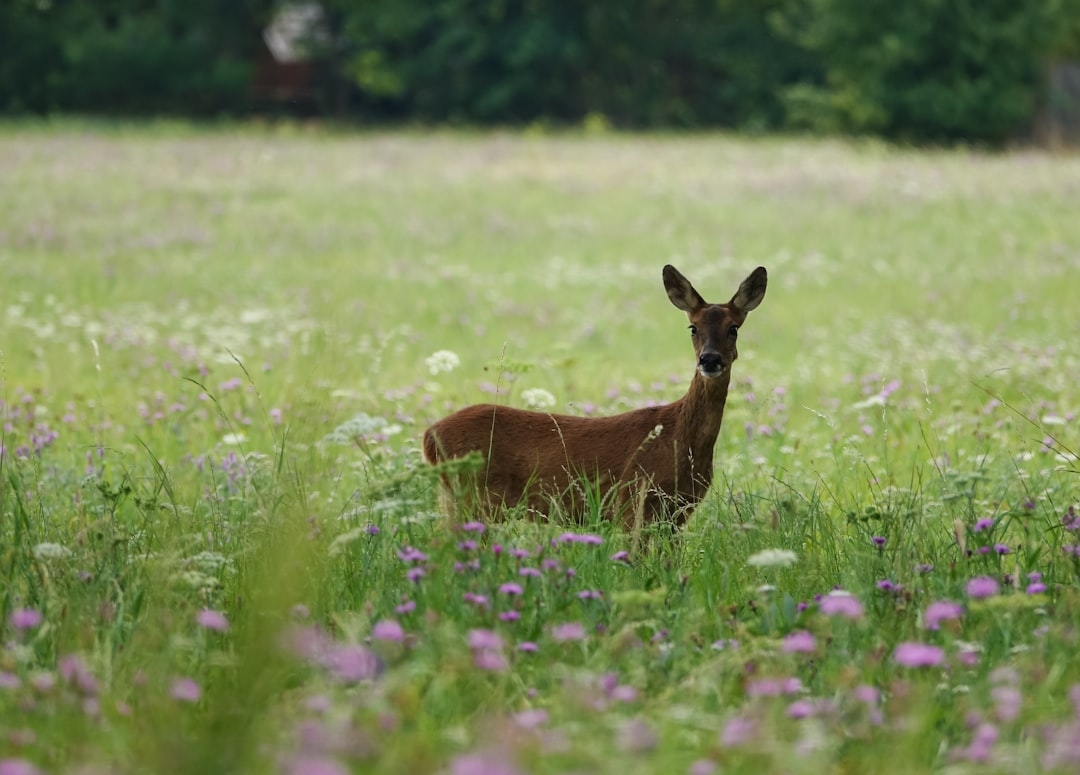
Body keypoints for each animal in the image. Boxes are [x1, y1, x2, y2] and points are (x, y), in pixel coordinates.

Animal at [422, 265, 767, 529]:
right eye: (692, 327)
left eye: (734, 328)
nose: (710, 360)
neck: (681, 439)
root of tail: (429, 435)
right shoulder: (634, 501)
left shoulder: (678, 513)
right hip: (474, 498)